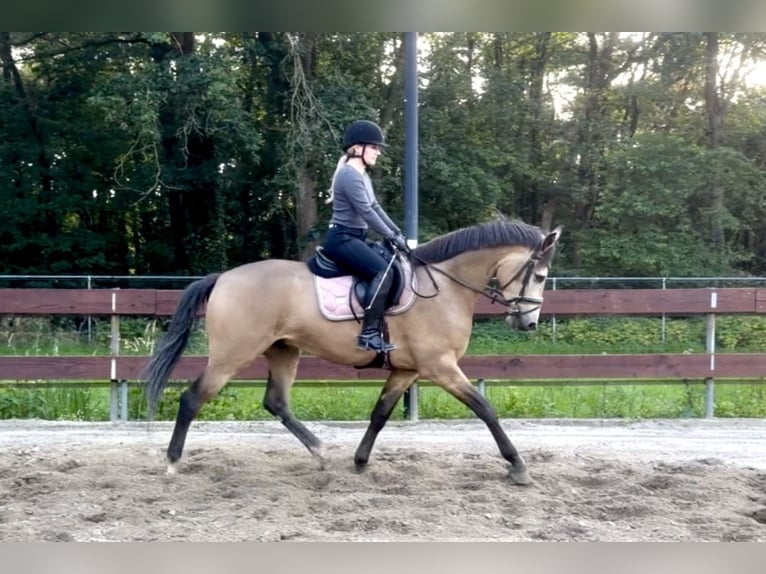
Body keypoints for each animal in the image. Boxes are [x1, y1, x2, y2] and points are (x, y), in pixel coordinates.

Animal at [141, 219, 562, 485]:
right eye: (540, 276)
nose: (528, 323)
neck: (444, 287)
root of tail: (223, 278)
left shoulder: (407, 370)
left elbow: (380, 414)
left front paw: (360, 462)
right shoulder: (440, 367)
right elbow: (485, 408)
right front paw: (518, 467)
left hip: (283, 351)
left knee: (276, 402)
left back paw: (319, 451)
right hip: (232, 355)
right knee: (192, 399)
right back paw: (172, 463)